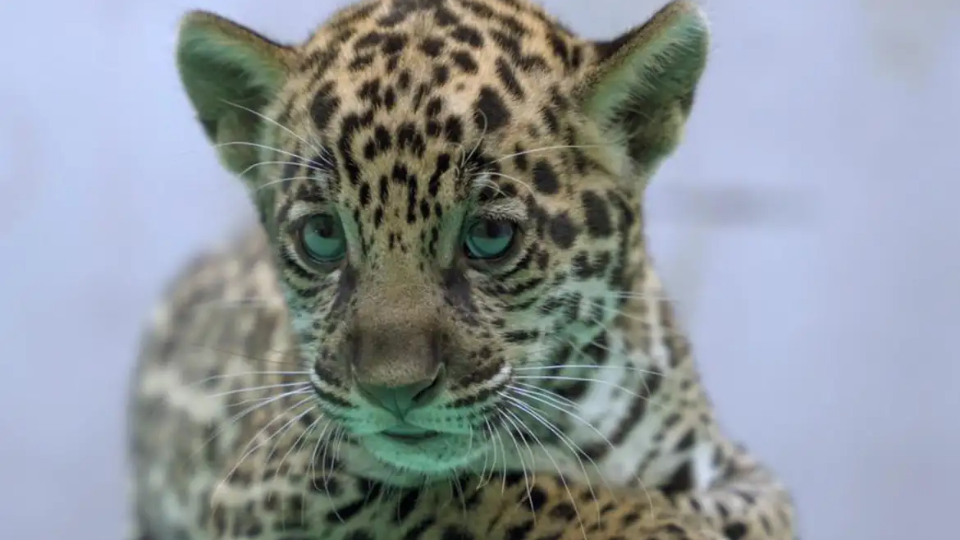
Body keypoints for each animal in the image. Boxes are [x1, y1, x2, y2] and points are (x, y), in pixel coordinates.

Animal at [126, 1, 799, 539]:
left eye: (490, 237)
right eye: (322, 236)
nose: (393, 392)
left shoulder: (740, 469)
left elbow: (756, 507)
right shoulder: (270, 477)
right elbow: (497, 490)